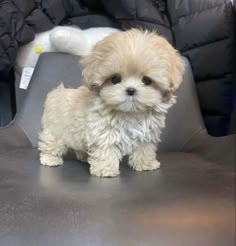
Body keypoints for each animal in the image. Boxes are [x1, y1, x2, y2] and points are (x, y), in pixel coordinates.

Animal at [38, 28, 184, 177]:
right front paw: (106, 169)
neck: (129, 113)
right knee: (50, 142)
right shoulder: (103, 131)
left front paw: (145, 164)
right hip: (56, 130)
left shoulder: (147, 134)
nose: (131, 90)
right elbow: (105, 149)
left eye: (147, 80)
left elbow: (144, 148)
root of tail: (57, 92)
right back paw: (50, 158)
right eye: (115, 79)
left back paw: (83, 156)